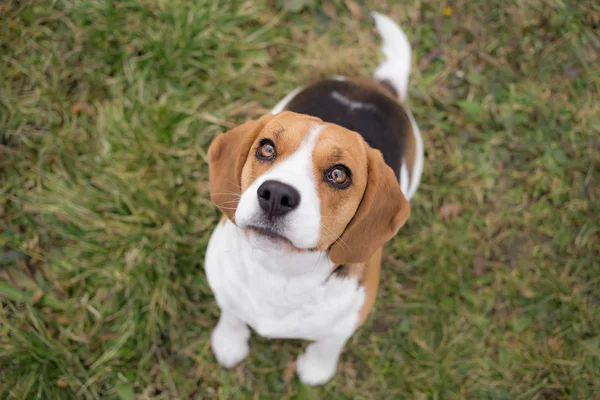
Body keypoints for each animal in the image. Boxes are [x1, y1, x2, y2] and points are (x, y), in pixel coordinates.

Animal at [204, 12, 420, 384]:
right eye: (266, 148)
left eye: (339, 174)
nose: (276, 195)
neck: (279, 272)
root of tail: (378, 87)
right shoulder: (222, 282)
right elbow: (231, 311)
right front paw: (229, 342)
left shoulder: (348, 319)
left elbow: (328, 342)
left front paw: (316, 370)